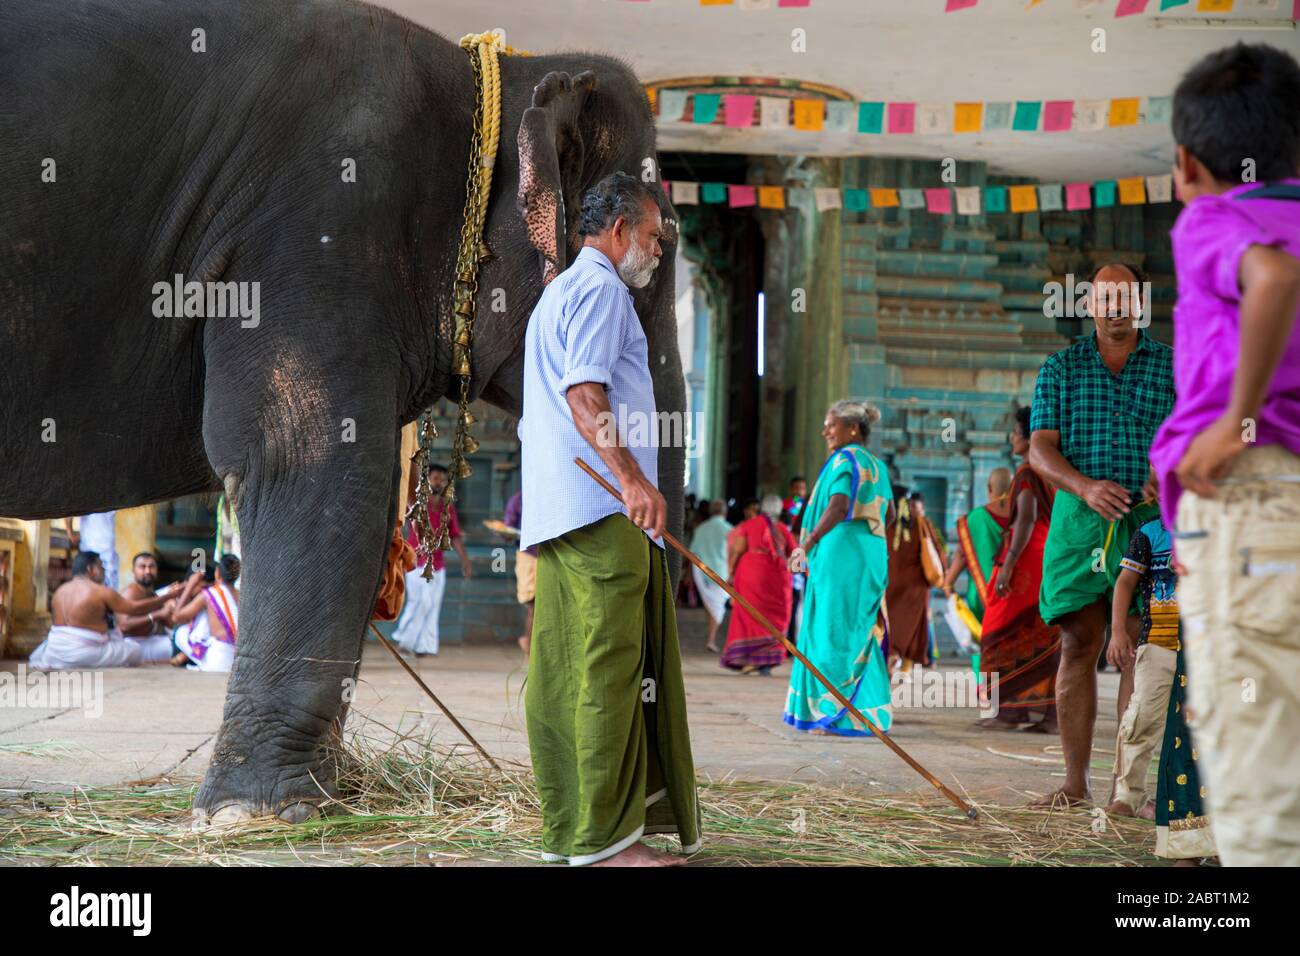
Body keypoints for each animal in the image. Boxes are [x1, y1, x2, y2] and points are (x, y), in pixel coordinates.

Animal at [0, 0, 685, 821]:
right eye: (660, 254)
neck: (483, 78)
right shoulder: (320, 226)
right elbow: (306, 456)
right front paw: (258, 814)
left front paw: (326, 794)